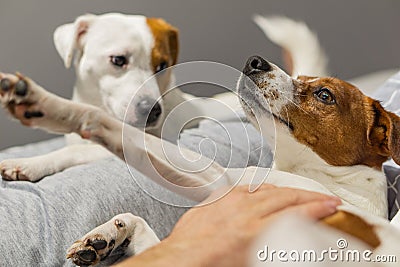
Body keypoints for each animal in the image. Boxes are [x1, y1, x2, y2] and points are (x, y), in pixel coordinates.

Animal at [0, 52, 400, 266]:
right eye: (300, 76)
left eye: (324, 94)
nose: (254, 60)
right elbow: (140, 221)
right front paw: (108, 235)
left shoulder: (220, 180)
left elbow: (103, 121)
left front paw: (42, 102)